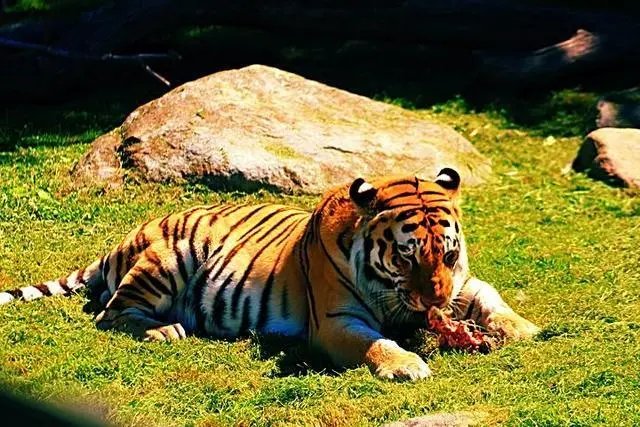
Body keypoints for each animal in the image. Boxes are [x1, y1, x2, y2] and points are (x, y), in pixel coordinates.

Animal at [0, 168, 539, 380]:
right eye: (406, 258)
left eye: (447, 256)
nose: (434, 304)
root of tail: (123, 238)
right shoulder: (335, 322)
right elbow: (376, 343)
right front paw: (406, 364)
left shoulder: (463, 284)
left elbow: (492, 299)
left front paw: (525, 329)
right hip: (168, 258)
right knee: (110, 314)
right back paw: (165, 330)